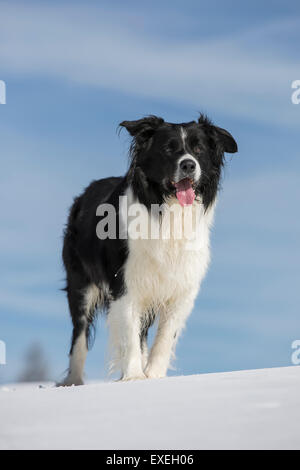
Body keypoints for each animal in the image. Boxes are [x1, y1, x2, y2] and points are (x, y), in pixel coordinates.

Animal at [61, 114, 238, 386]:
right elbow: (128, 334)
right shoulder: (125, 283)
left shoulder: (181, 288)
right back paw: (73, 381)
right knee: (79, 334)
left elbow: (165, 337)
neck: (168, 210)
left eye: (198, 149)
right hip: (80, 284)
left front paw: (153, 376)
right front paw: (134, 377)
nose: (189, 165)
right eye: (168, 149)